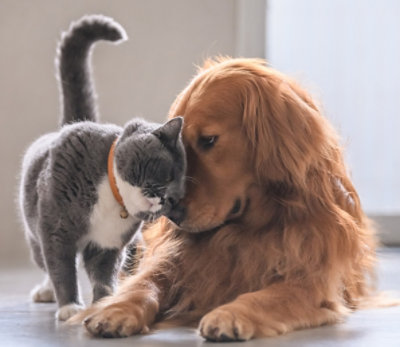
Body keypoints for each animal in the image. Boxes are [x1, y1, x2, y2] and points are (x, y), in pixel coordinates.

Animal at [18, 15, 186, 320]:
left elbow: (103, 274)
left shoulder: (108, 244)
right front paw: (70, 306)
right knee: (44, 261)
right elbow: (61, 267)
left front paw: (105, 303)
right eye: (167, 174)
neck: (112, 196)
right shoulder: (56, 229)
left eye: (176, 197)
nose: (164, 199)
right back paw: (46, 291)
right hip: (34, 229)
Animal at [73, 58, 376, 342]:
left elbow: (267, 296)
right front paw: (115, 309)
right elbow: (145, 283)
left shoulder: (312, 281)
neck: (246, 229)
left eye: (208, 140)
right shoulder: (174, 259)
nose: (171, 214)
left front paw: (230, 314)